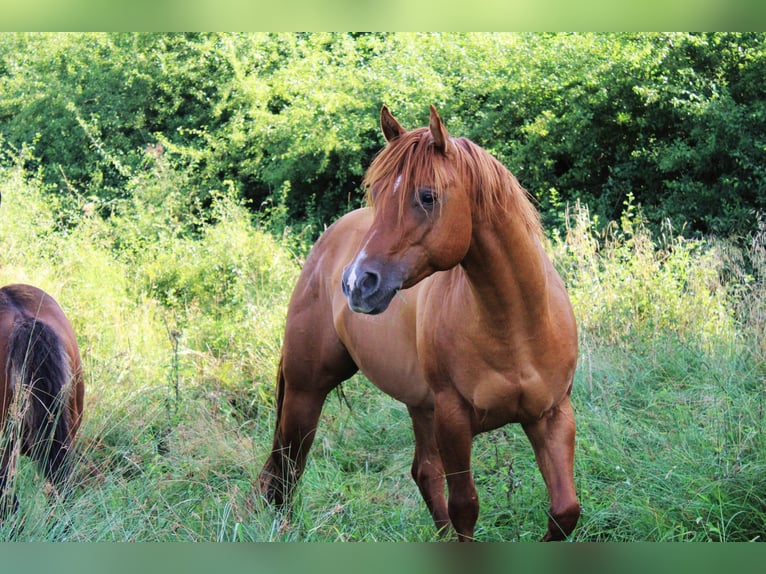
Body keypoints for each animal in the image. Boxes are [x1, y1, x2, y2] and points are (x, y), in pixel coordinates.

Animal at [258, 105, 580, 541]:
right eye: (377, 194)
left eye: (427, 196)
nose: (357, 284)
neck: (517, 327)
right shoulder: (454, 421)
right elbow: (465, 507)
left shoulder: (551, 416)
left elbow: (564, 511)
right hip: (307, 389)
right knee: (289, 466)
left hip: (419, 405)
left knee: (423, 472)